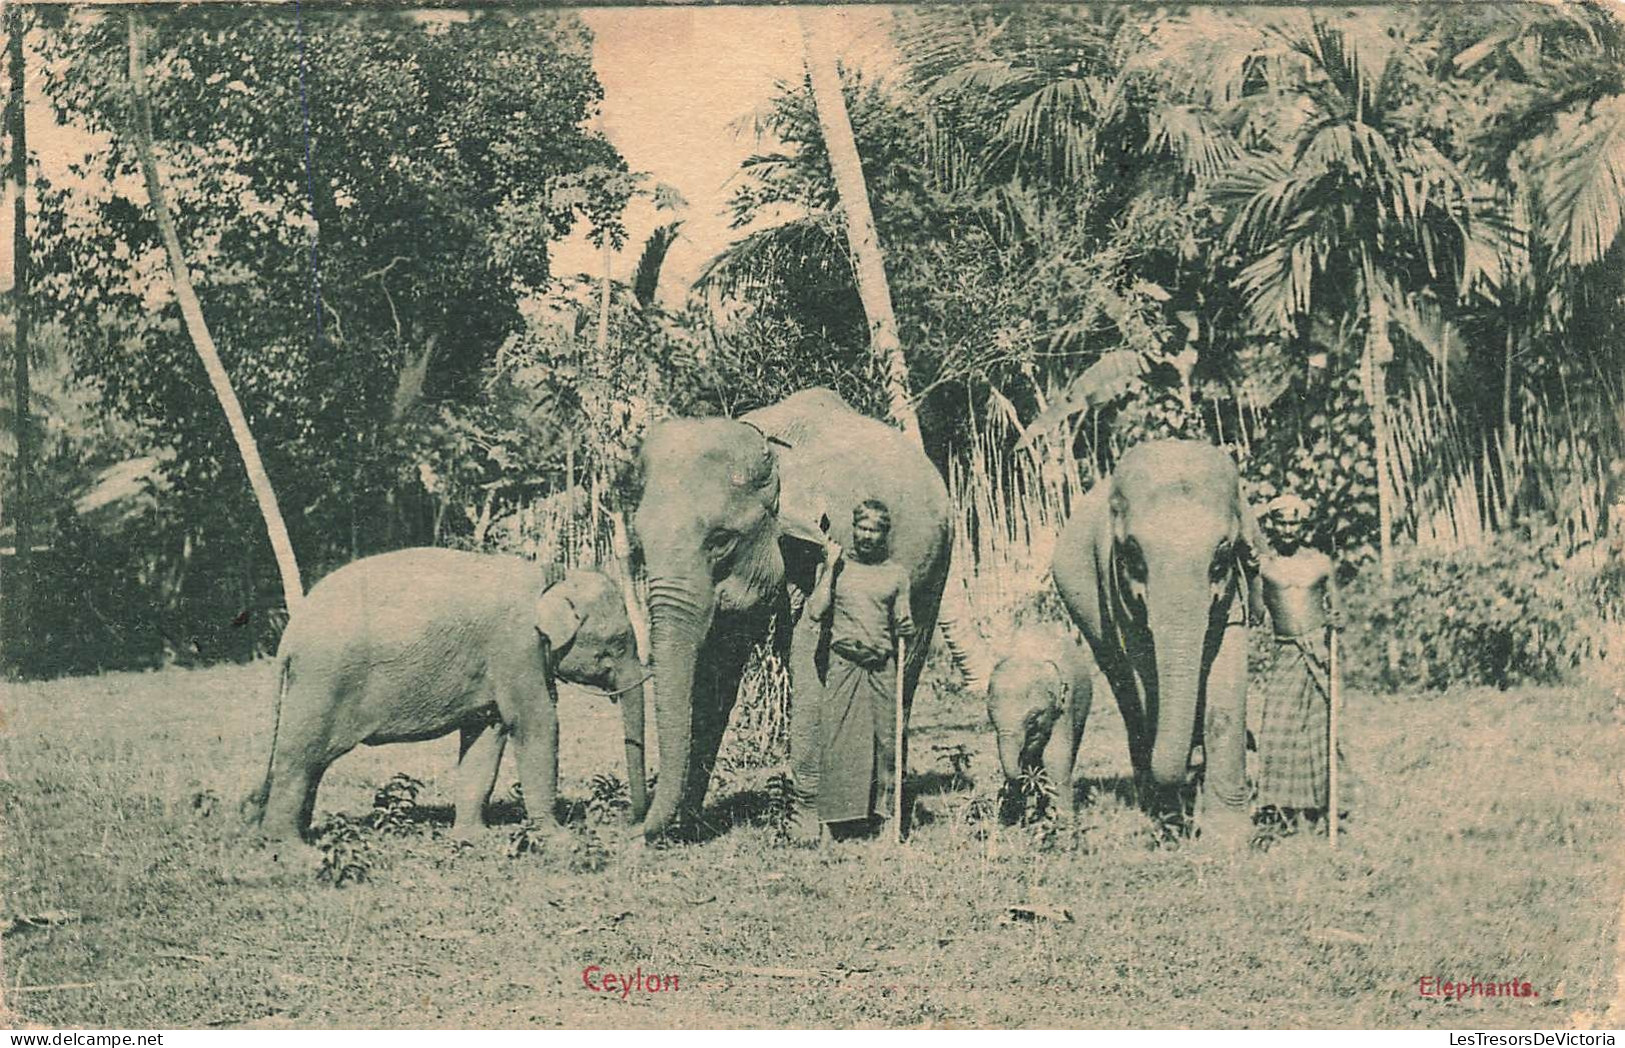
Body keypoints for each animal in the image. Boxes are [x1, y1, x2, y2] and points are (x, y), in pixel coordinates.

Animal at [242, 549, 646, 844]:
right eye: (619, 641)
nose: (633, 824)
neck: (552, 576)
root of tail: (289, 636)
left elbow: (488, 734)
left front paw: (474, 838)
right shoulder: (515, 647)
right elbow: (535, 722)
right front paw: (558, 839)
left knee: (312, 763)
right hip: (322, 681)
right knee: (301, 755)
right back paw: (291, 850)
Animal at [624, 388, 949, 838]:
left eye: (721, 540)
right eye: (639, 543)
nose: (634, 828)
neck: (773, 454)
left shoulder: (824, 544)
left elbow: (812, 655)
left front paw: (805, 835)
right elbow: (714, 669)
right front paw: (688, 828)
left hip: (935, 569)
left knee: (908, 664)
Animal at [1046, 438, 1261, 844]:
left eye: (1222, 557)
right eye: (1132, 556)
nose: (1192, 774)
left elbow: (1227, 682)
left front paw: (1227, 837)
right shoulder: (1116, 591)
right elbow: (1144, 674)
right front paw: (1171, 818)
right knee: (1124, 687)